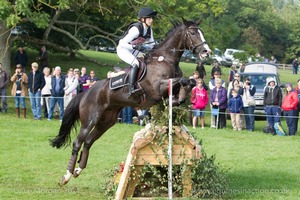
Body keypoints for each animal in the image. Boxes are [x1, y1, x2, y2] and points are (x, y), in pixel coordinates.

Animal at [49, 18, 211, 185]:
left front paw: (180, 98)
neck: (166, 60)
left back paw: (78, 170)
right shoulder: (158, 87)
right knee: (78, 142)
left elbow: (189, 82)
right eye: (192, 33)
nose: (206, 52)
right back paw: (67, 175)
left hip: (106, 122)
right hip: (90, 120)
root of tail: (85, 92)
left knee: (88, 141)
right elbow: (183, 79)